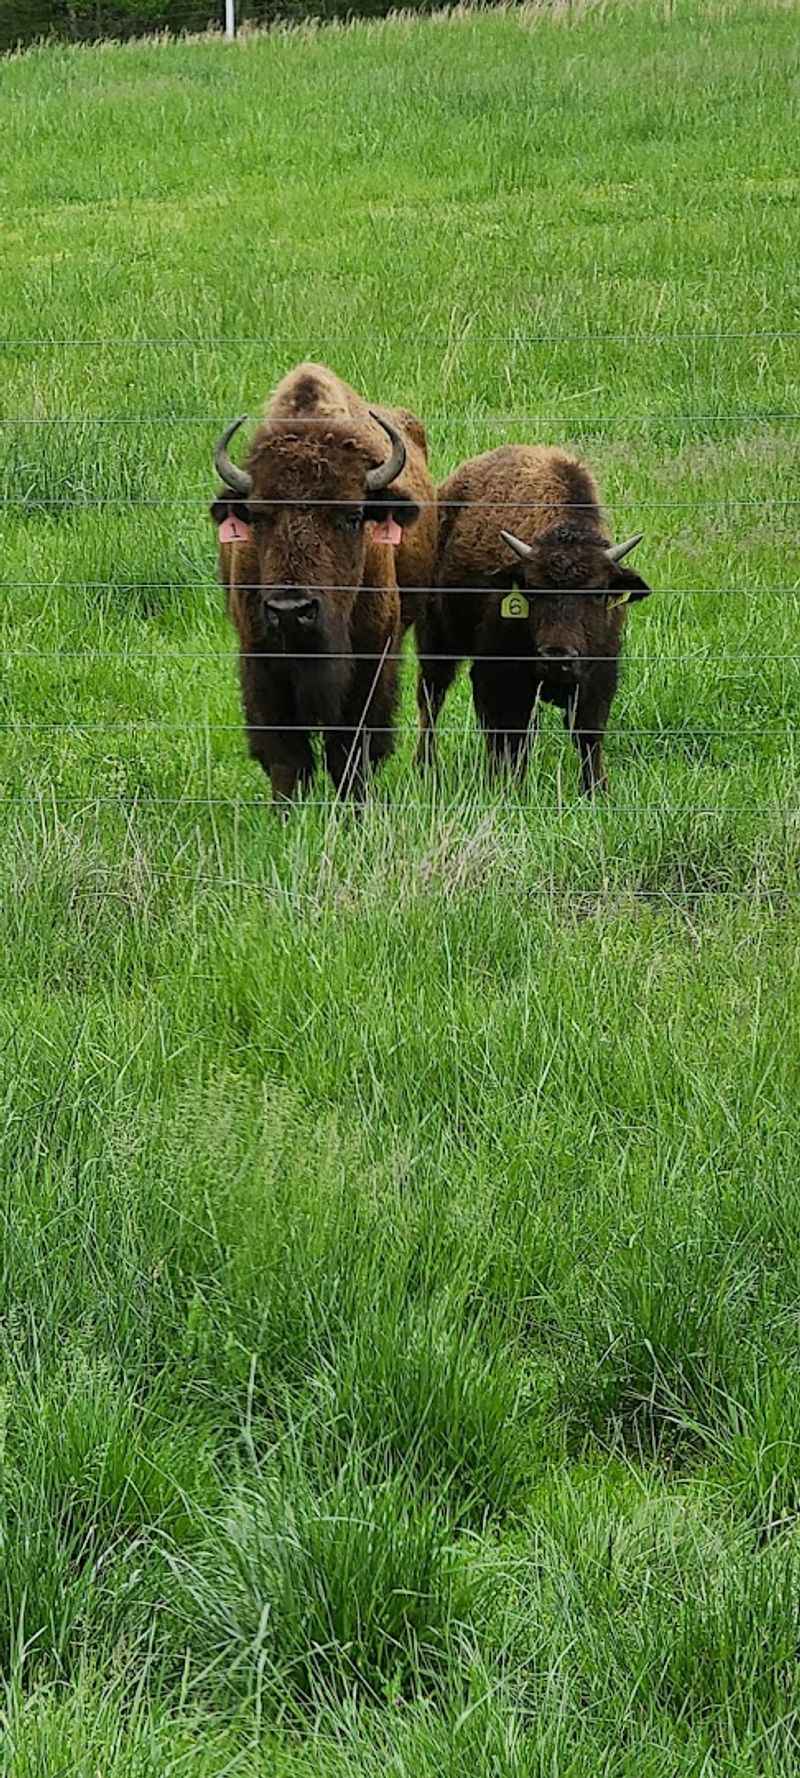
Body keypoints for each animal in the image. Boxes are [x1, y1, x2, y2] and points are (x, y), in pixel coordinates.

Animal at [211, 363, 434, 802]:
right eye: (259, 517)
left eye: (351, 516)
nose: (291, 611)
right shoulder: (260, 662)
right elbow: (286, 758)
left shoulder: (372, 659)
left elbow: (350, 750)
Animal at [415, 445, 652, 794]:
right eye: (531, 589)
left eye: (598, 592)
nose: (557, 656)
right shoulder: (501, 676)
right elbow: (510, 735)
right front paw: (509, 787)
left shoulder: (598, 675)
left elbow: (588, 735)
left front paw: (597, 791)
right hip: (437, 640)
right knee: (432, 698)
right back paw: (426, 768)